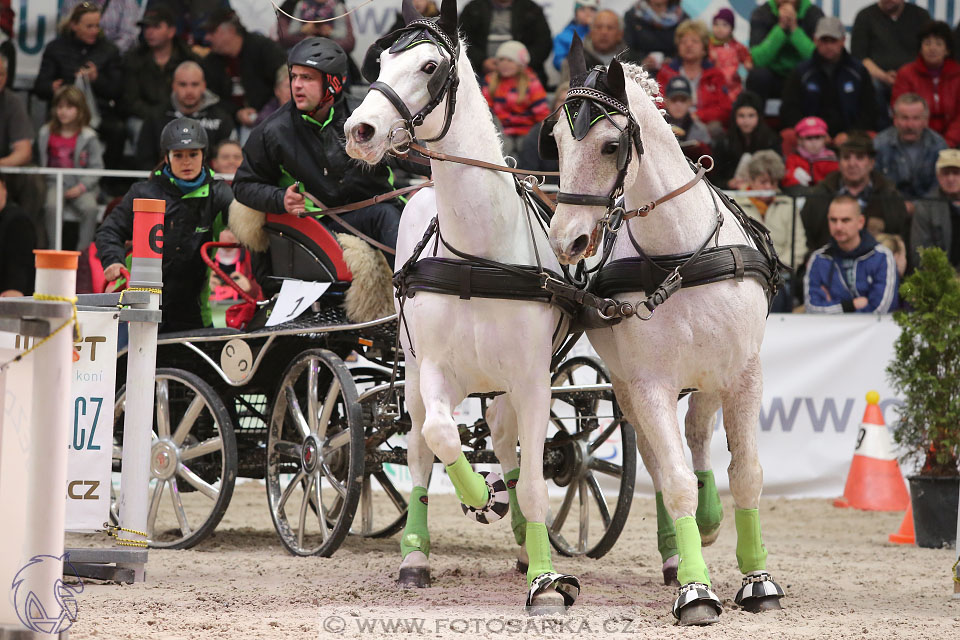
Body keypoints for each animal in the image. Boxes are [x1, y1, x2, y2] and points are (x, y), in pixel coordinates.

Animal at [344, 0, 576, 608]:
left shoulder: (533, 379)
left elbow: (536, 480)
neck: (478, 256)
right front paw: (477, 496)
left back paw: (519, 538)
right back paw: (416, 555)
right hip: (412, 370)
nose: (359, 130)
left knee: (506, 441)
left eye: (430, 67)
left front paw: (544, 573)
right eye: (380, 61)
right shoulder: (434, 370)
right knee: (422, 451)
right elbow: (441, 437)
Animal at [544, 41, 784, 624]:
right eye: (556, 140)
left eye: (611, 146)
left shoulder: (743, 373)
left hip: (709, 374)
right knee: (660, 457)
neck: (679, 255)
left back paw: (711, 516)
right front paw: (695, 588)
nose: (565, 241)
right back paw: (680, 552)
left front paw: (758, 580)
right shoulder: (648, 382)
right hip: (628, 387)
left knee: (697, 432)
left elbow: (746, 473)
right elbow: (672, 480)